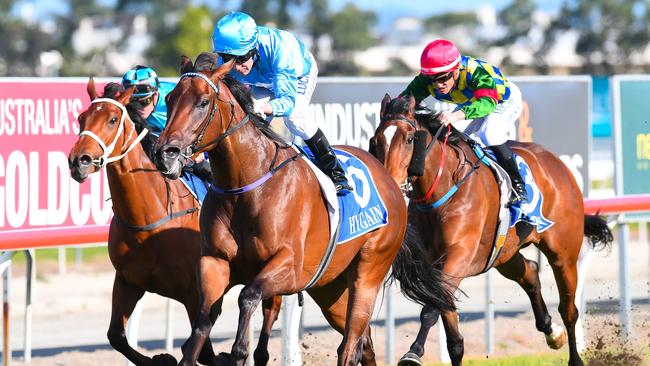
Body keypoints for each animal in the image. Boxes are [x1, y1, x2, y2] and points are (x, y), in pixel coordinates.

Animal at [67, 80, 280, 366]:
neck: (148, 220)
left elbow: (204, 350)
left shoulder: (194, 293)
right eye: (81, 118)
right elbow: (116, 336)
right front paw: (161, 358)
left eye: (112, 119)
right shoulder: (127, 281)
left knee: (271, 309)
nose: (79, 160)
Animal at [151, 52, 454, 366]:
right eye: (170, 99)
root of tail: (390, 180)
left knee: (352, 343)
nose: (164, 153)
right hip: (330, 288)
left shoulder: (290, 267)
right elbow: (203, 320)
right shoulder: (214, 262)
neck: (246, 185)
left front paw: (240, 351)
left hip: (369, 271)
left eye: (202, 102)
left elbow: (247, 296)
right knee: (364, 342)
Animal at [370, 95, 612, 366]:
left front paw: (413, 352)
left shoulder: (459, 256)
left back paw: (574, 355)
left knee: (569, 309)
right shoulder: (436, 265)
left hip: (563, 253)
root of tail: (557, 163)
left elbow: (431, 309)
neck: (444, 187)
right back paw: (552, 332)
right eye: (376, 140)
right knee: (530, 271)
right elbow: (453, 337)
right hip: (503, 254)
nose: (389, 183)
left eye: (410, 139)